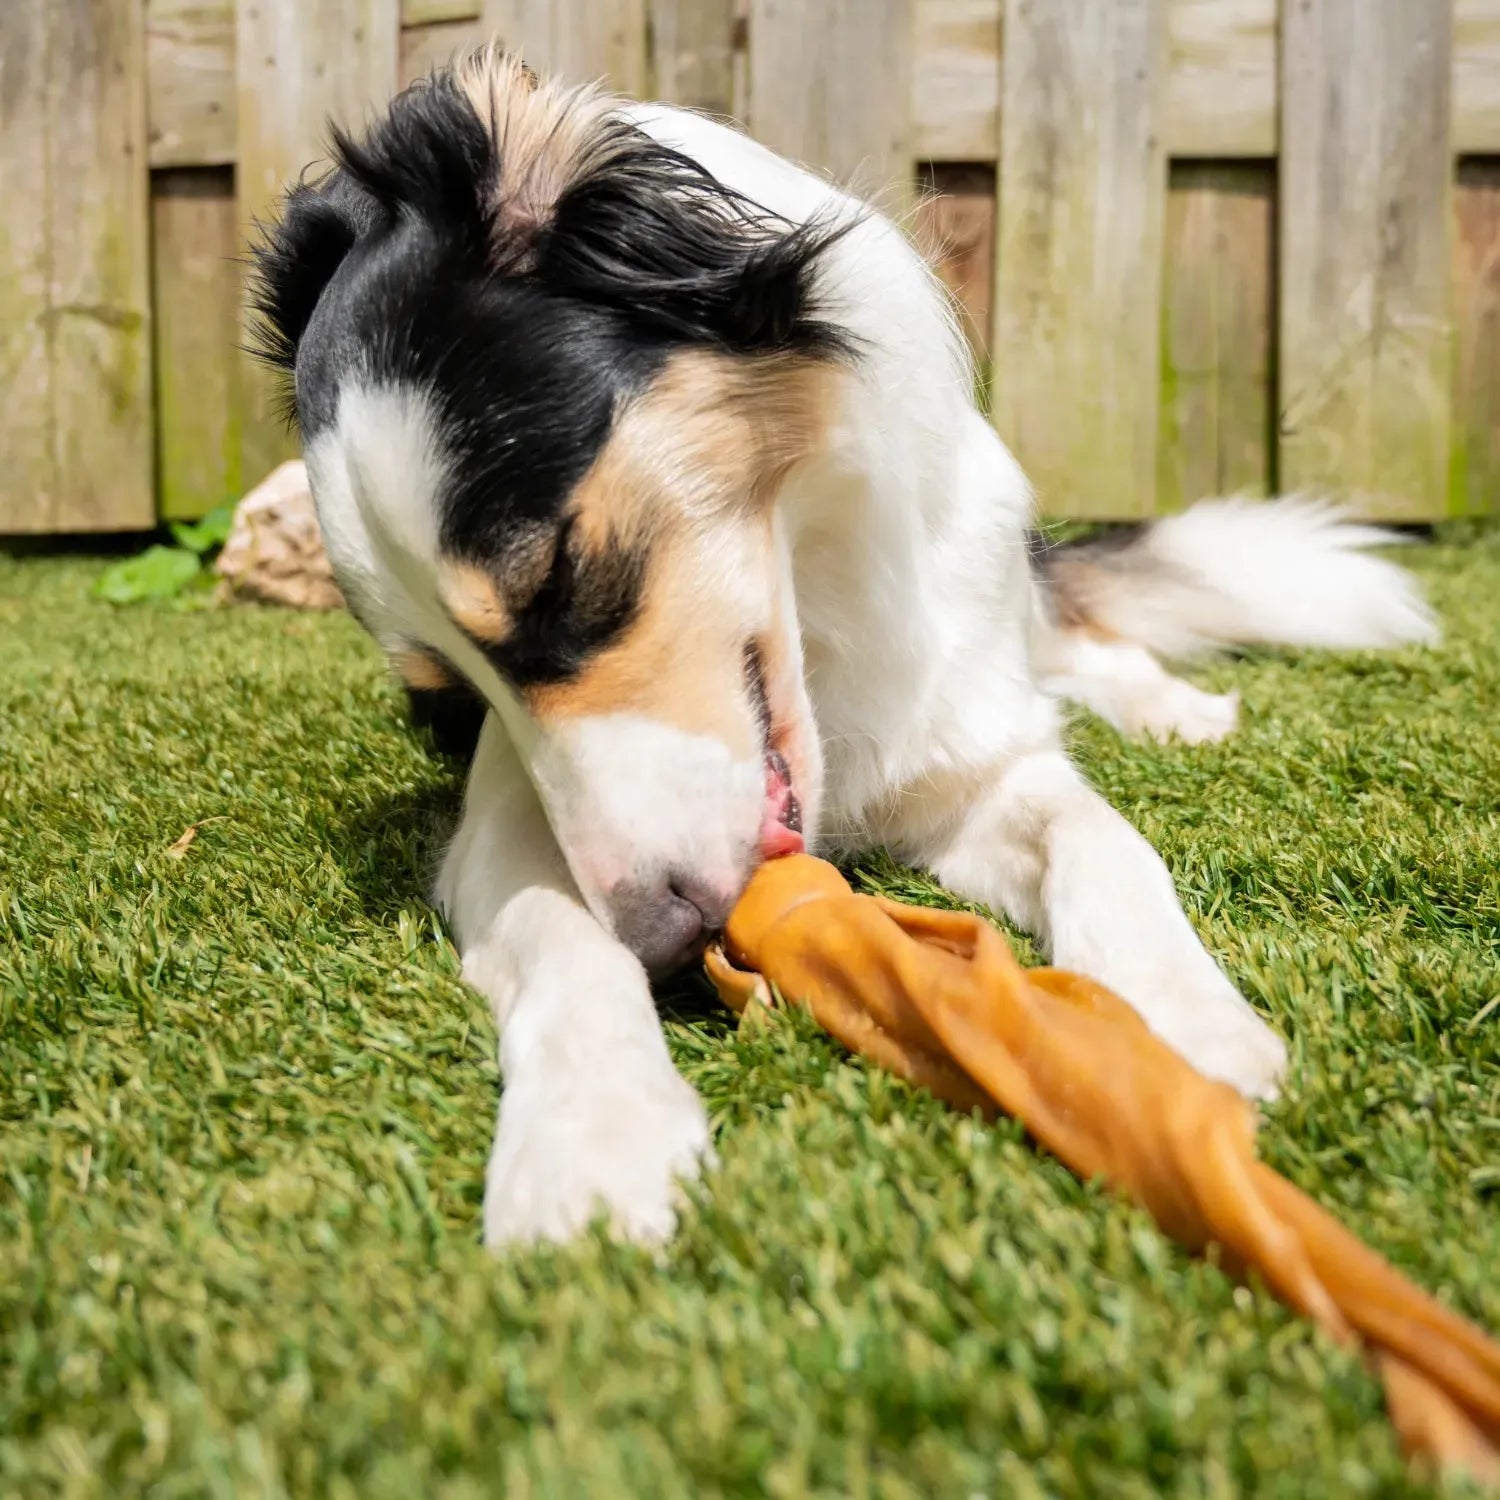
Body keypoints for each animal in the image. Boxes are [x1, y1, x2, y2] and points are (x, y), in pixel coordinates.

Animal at [252, 43, 1434, 1242]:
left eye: (560, 582)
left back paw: (1169, 707)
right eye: (448, 691)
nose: (665, 935)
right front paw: (595, 1139)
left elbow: (1102, 838)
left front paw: (1182, 1024)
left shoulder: (973, 754)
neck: (813, 593)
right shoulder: (500, 823)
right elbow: (557, 930)